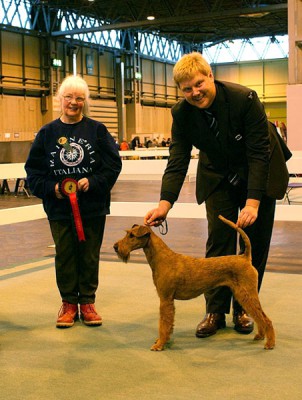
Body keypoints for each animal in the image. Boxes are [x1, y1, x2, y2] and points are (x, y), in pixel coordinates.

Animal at [113, 216, 276, 350]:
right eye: (127, 233)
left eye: (132, 235)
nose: (115, 247)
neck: (162, 258)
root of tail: (245, 257)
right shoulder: (168, 300)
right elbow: (168, 324)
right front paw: (165, 340)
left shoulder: (165, 299)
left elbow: (163, 324)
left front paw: (159, 344)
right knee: (260, 316)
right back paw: (260, 336)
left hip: (246, 293)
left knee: (265, 318)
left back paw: (270, 343)